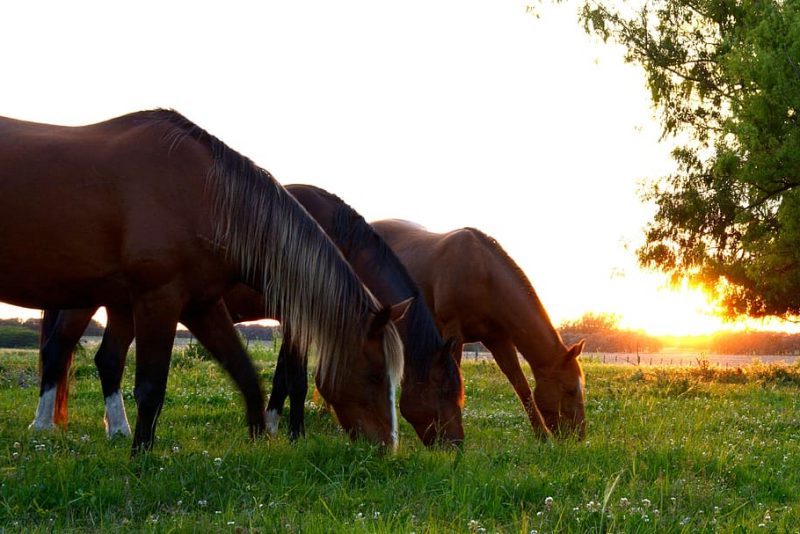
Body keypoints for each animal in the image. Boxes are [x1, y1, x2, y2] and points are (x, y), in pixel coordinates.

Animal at [34, 185, 465, 446]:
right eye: (445, 390)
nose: (456, 445)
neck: (330, 237)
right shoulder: (298, 317)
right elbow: (295, 380)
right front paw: (294, 434)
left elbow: (281, 379)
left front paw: (271, 425)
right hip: (88, 303)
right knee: (58, 350)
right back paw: (42, 427)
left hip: (123, 305)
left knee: (108, 359)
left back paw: (118, 431)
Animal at [371, 219, 586, 439]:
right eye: (570, 390)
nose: (578, 436)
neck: (482, 275)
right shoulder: (453, 332)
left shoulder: (498, 339)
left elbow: (521, 386)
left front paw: (542, 437)